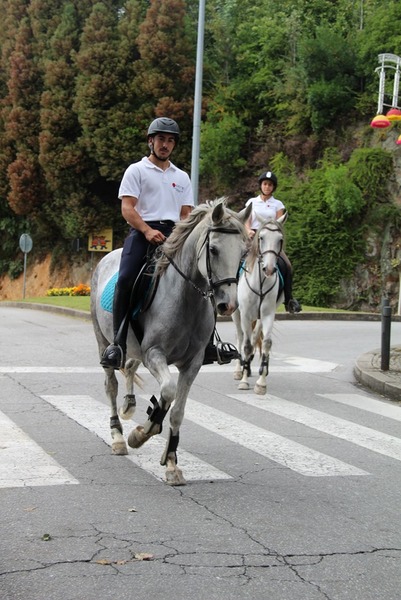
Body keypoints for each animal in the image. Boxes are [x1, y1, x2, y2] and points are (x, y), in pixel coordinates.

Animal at [90, 199, 250, 486]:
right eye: (213, 249)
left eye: (243, 252)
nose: (228, 305)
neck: (185, 297)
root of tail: (109, 255)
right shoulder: (154, 353)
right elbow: (167, 391)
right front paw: (141, 433)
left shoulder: (193, 363)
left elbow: (177, 410)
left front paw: (172, 463)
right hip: (103, 340)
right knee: (111, 384)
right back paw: (118, 436)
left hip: (134, 349)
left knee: (129, 368)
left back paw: (130, 406)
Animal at [231, 213, 288, 396]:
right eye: (261, 237)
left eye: (280, 239)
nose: (269, 269)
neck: (261, 281)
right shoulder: (245, 314)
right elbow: (247, 345)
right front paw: (243, 381)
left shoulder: (268, 314)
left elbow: (266, 343)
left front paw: (261, 382)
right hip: (236, 314)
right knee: (240, 337)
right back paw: (239, 369)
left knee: (256, 336)